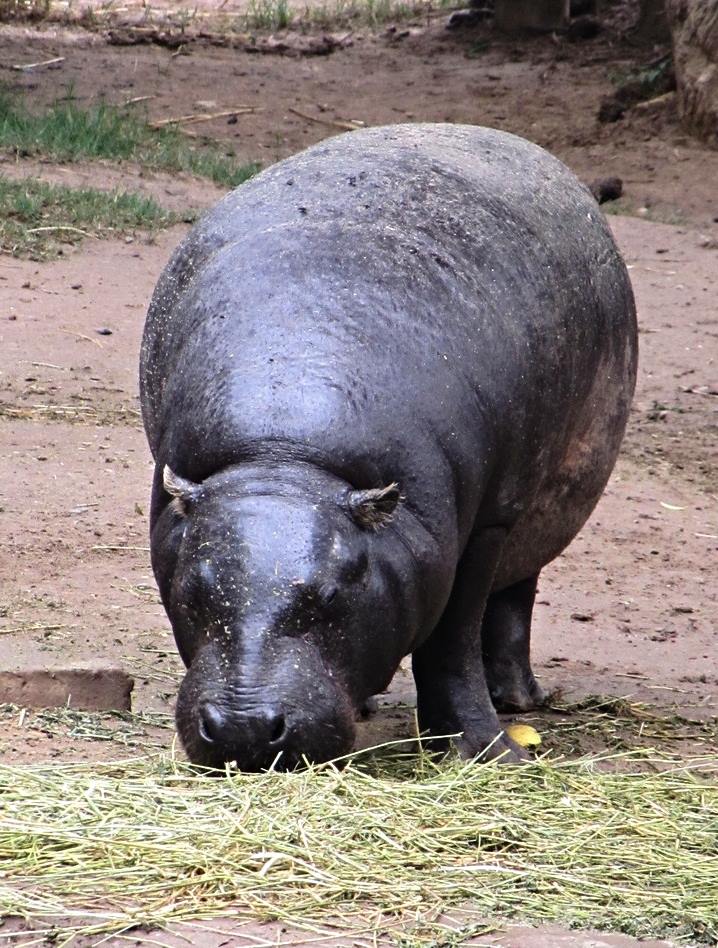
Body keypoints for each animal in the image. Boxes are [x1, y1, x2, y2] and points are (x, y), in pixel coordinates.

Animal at [140, 123, 637, 770]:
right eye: (193, 590)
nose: (242, 732)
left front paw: (489, 752)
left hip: (536, 505)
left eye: (330, 596)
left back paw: (518, 701)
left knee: (514, 596)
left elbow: (452, 641)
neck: (286, 456)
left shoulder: (482, 530)